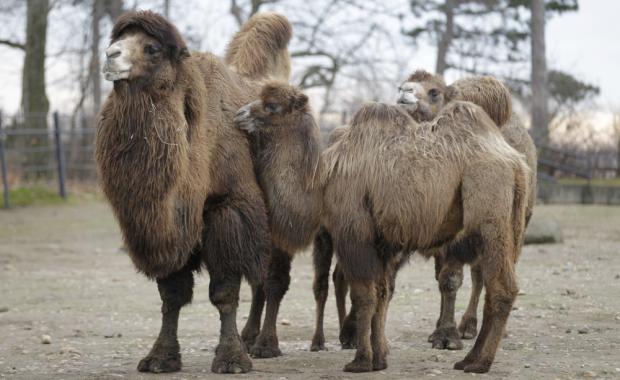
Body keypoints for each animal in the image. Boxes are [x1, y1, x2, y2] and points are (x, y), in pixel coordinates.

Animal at [95, 9, 294, 374]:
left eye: (152, 49)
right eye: (117, 40)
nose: (110, 55)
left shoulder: (228, 210)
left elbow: (224, 293)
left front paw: (231, 359)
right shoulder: (167, 224)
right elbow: (171, 296)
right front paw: (160, 358)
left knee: (273, 280)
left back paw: (265, 345)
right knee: (259, 279)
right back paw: (250, 336)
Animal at [230, 81, 322, 356]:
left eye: (272, 106)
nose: (239, 114)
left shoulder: (283, 239)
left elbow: (276, 282)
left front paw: (266, 345)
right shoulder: (268, 234)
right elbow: (258, 282)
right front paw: (248, 336)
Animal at [322, 99, 532, 372]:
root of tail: (516, 164)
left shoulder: (354, 231)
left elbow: (364, 295)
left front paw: (361, 361)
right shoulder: (383, 242)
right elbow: (382, 293)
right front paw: (379, 359)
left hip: (490, 209)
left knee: (501, 286)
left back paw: (480, 362)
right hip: (511, 221)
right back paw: (468, 358)